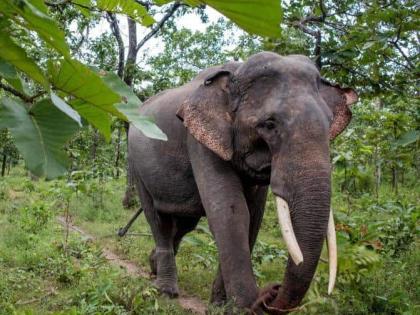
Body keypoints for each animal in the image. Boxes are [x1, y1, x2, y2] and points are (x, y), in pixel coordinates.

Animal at [129, 51, 358, 314]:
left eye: (329, 122)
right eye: (269, 124)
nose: (271, 292)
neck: (235, 74)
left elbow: (253, 217)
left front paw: (220, 306)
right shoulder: (199, 140)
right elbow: (231, 212)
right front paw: (243, 307)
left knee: (184, 223)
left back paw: (153, 266)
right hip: (136, 166)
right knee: (159, 220)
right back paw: (166, 291)